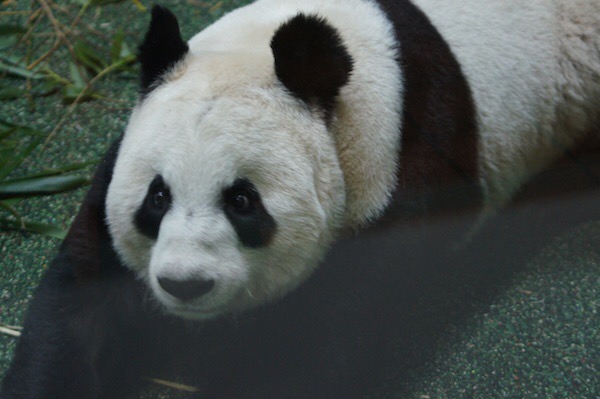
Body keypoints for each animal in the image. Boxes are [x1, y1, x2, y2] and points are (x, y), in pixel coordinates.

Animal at [3, 0, 600, 398]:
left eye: (242, 201)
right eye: (157, 197)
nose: (184, 284)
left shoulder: (400, 178)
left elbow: (328, 343)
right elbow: (76, 305)